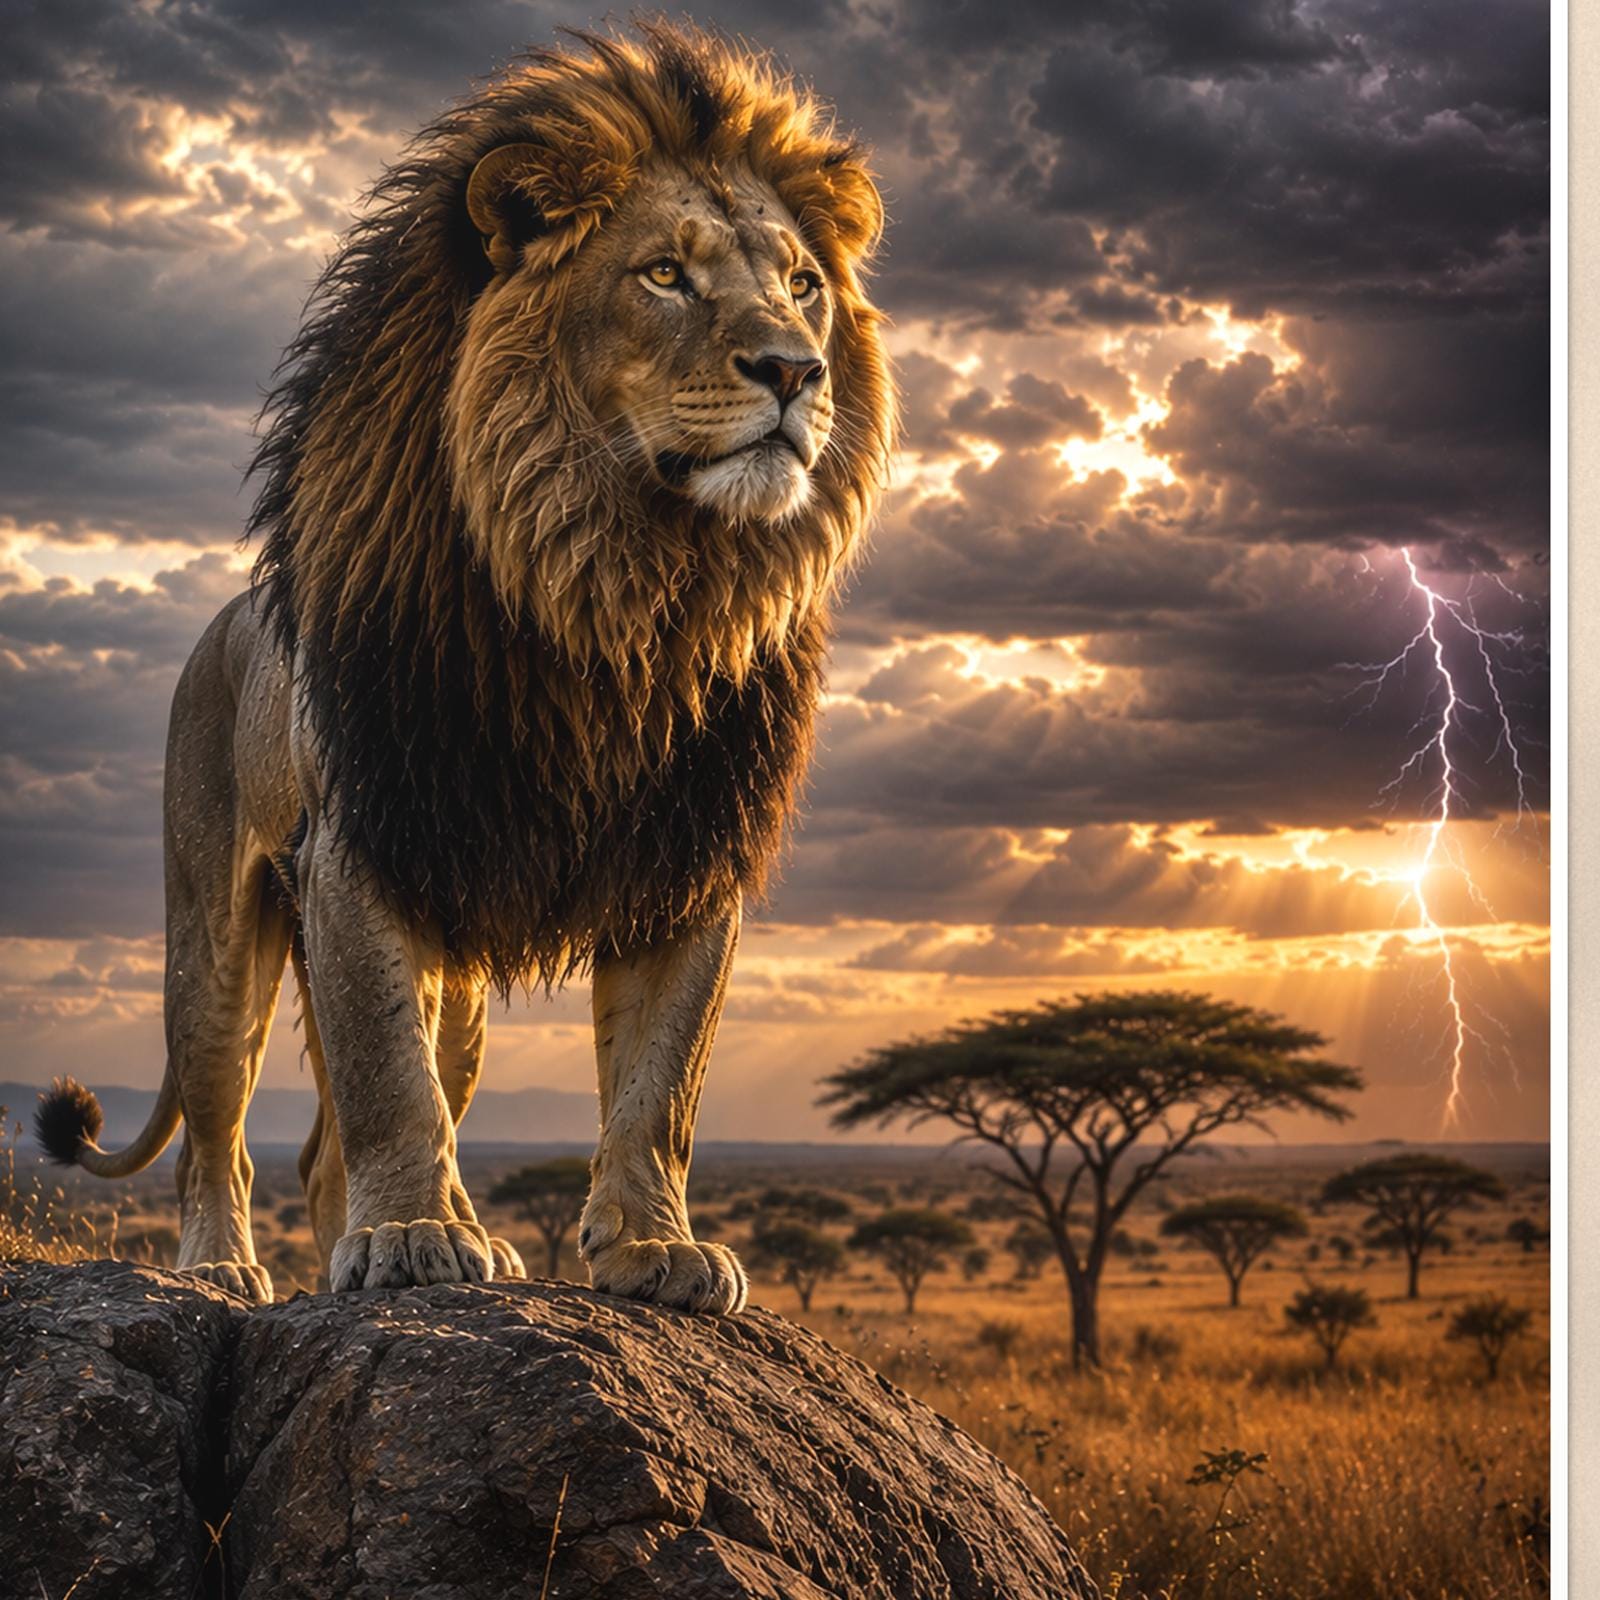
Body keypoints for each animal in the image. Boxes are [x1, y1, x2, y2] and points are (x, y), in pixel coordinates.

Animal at [34, 21, 895, 1313]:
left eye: (803, 285)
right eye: (664, 275)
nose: (794, 371)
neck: (628, 588)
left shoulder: (689, 850)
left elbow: (662, 1082)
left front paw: (654, 1249)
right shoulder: (364, 834)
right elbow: (388, 1075)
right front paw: (410, 1239)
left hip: (467, 996)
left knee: (327, 1140)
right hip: (215, 934)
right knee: (219, 1124)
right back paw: (230, 1266)